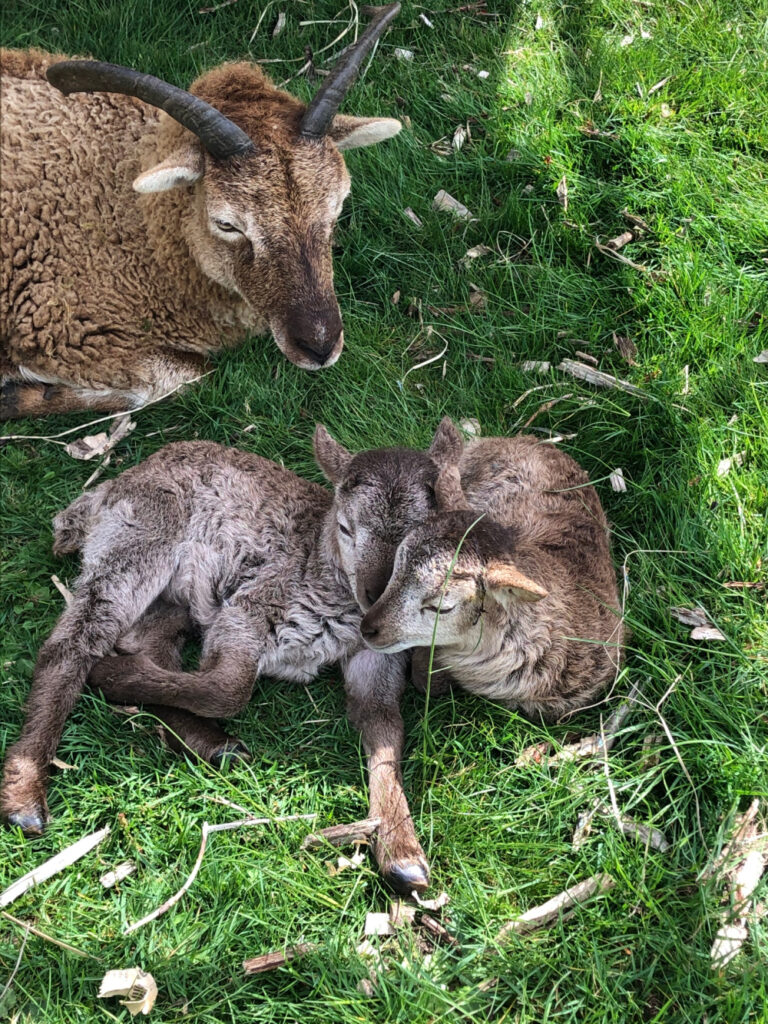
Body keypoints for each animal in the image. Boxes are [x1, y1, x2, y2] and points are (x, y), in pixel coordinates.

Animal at [1, 3, 403, 419]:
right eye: (227, 224)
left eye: (336, 205)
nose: (320, 346)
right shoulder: (63, 325)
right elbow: (189, 376)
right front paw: (23, 390)